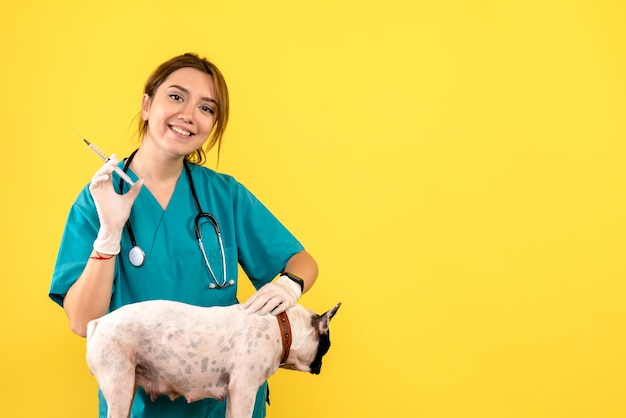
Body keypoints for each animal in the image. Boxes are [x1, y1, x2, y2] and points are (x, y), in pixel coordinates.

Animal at [85, 300, 338, 418]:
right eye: (327, 346)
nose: (321, 366)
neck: (282, 327)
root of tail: (99, 322)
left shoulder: (234, 397)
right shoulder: (244, 391)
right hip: (119, 387)